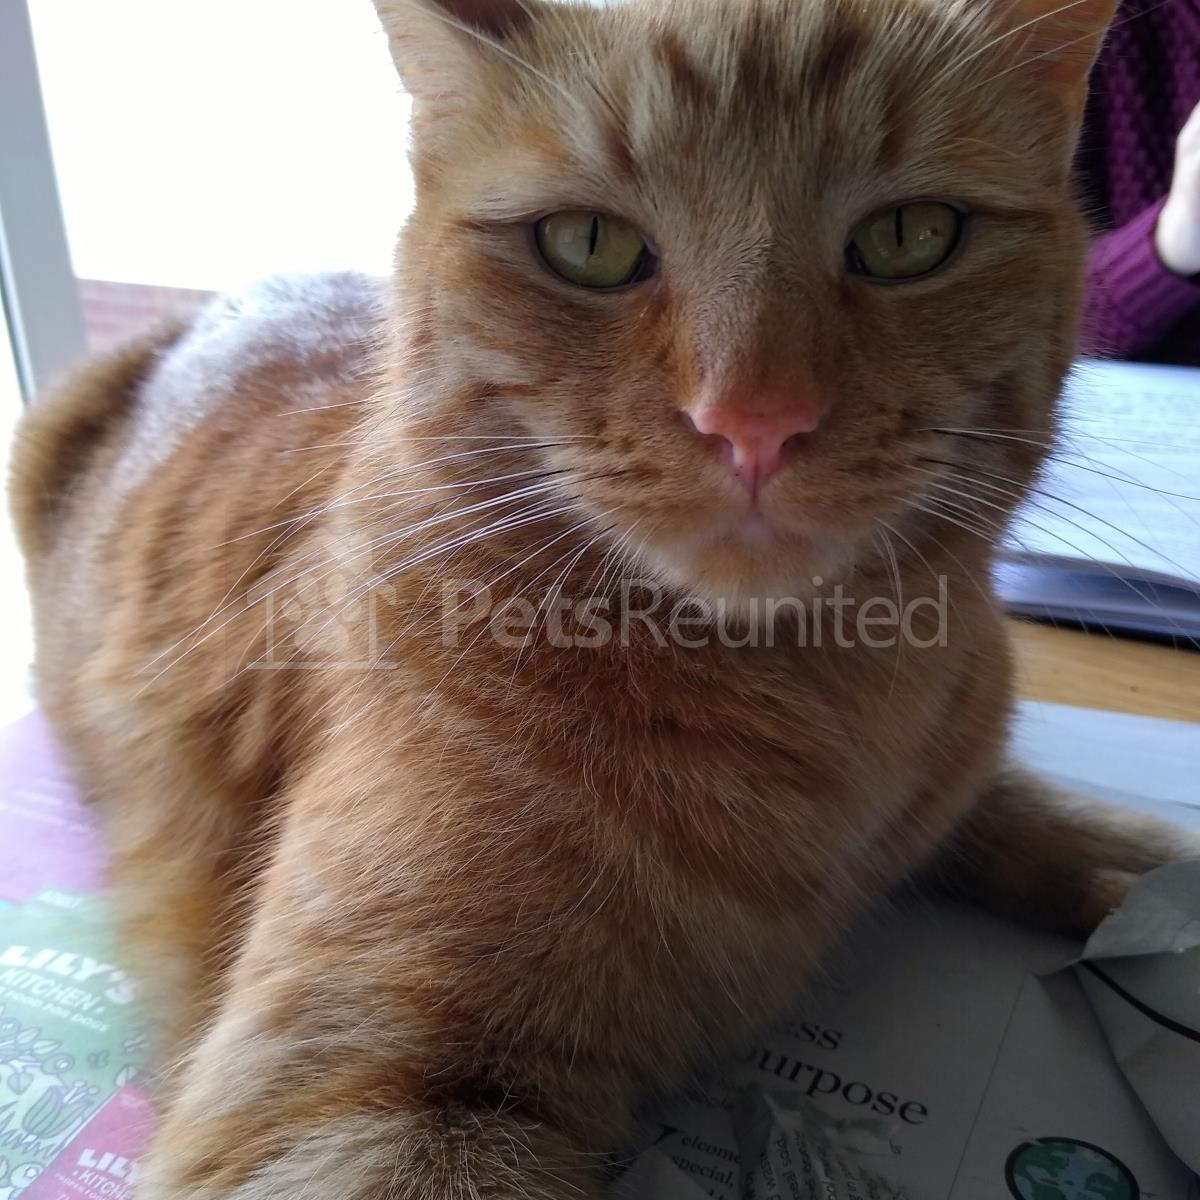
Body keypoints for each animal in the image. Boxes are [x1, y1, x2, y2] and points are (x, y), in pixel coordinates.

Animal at [9, 0, 1194, 1196]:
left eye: (910, 236)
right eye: (590, 246)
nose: (754, 420)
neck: (829, 718)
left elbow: (1033, 808)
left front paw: (1143, 878)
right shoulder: (354, 1096)